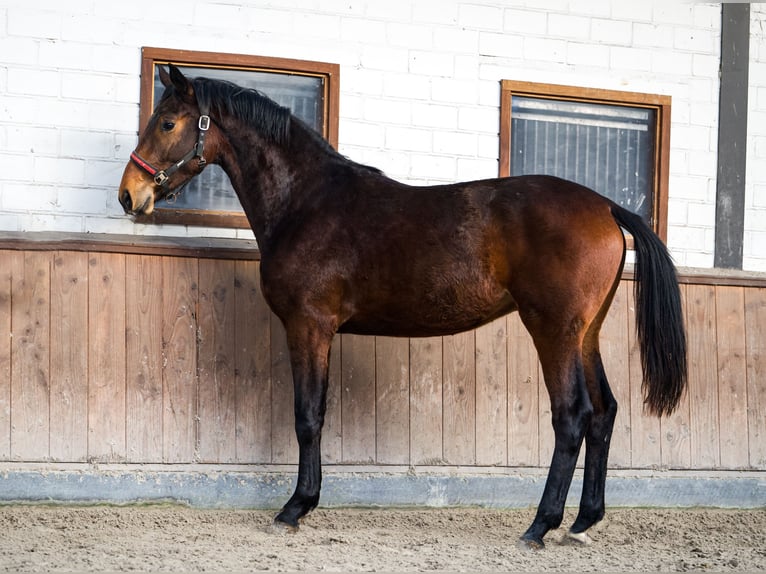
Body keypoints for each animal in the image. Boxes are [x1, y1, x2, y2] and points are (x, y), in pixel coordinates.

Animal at [120, 65, 688, 552]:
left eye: (167, 122)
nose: (129, 194)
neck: (306, 202)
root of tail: (606, 206)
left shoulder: (309, 327)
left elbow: (308, 416)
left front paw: (295, 508)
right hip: (584, 334)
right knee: (605, 413)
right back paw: (583, 521)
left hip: (552, 331)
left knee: (572, 417)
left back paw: (539, 525)